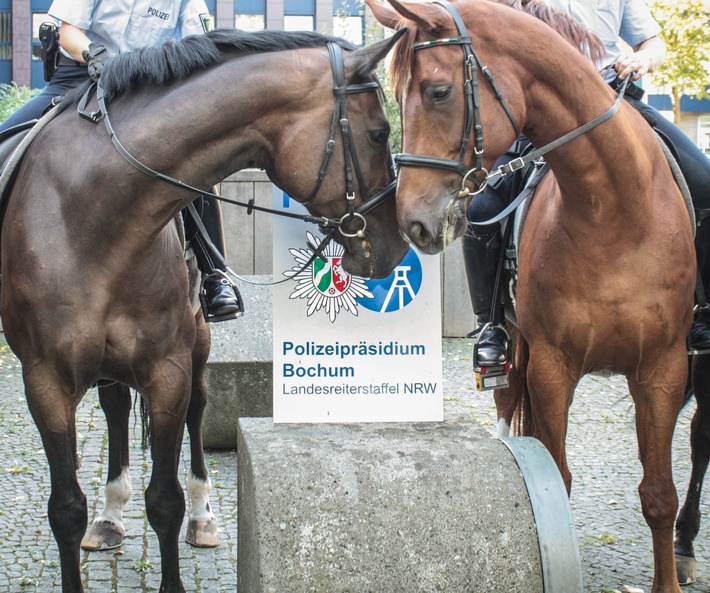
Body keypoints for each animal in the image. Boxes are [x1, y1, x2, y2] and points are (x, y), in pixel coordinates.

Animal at [0, 28, 408, 592]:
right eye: (378, 133)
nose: (397, 244)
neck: (93, 215)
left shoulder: (167, 370)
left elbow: (165, 501)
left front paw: (183, 526)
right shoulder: (45, 380)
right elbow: (65, 509)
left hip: (197, 343)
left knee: (197, 409)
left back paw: (202, 514)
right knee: (115, 406)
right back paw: (110, 516)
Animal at [370, 1, 700, 592]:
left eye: (437, 91)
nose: (411, 222)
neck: (613, 211)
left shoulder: (662, 370)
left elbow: (659, 493)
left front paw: (668, 579)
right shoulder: (553, 365)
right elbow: (557, 474)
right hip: (513, 340)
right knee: (507, 402)